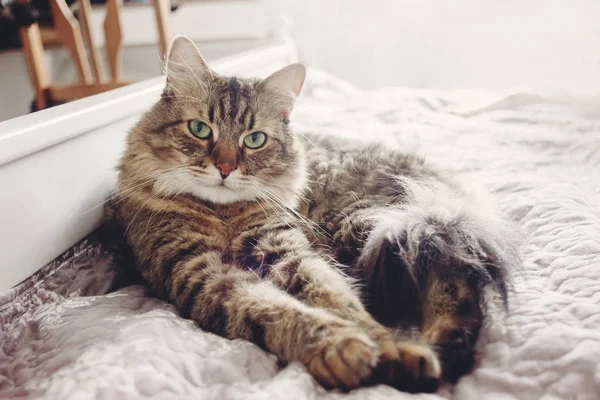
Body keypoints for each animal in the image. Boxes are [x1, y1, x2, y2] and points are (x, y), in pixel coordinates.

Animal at [106, 36, 516, 392]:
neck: (224, 214)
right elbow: (273, 310)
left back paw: (445, 340)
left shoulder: (287, 249)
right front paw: (343, 348)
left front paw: (389, 349)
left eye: (254, 139)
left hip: (371, 223)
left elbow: (338, 299)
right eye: (199, 129)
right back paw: (450, 346)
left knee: (456, 267)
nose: (224, 168)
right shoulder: (199, 271)